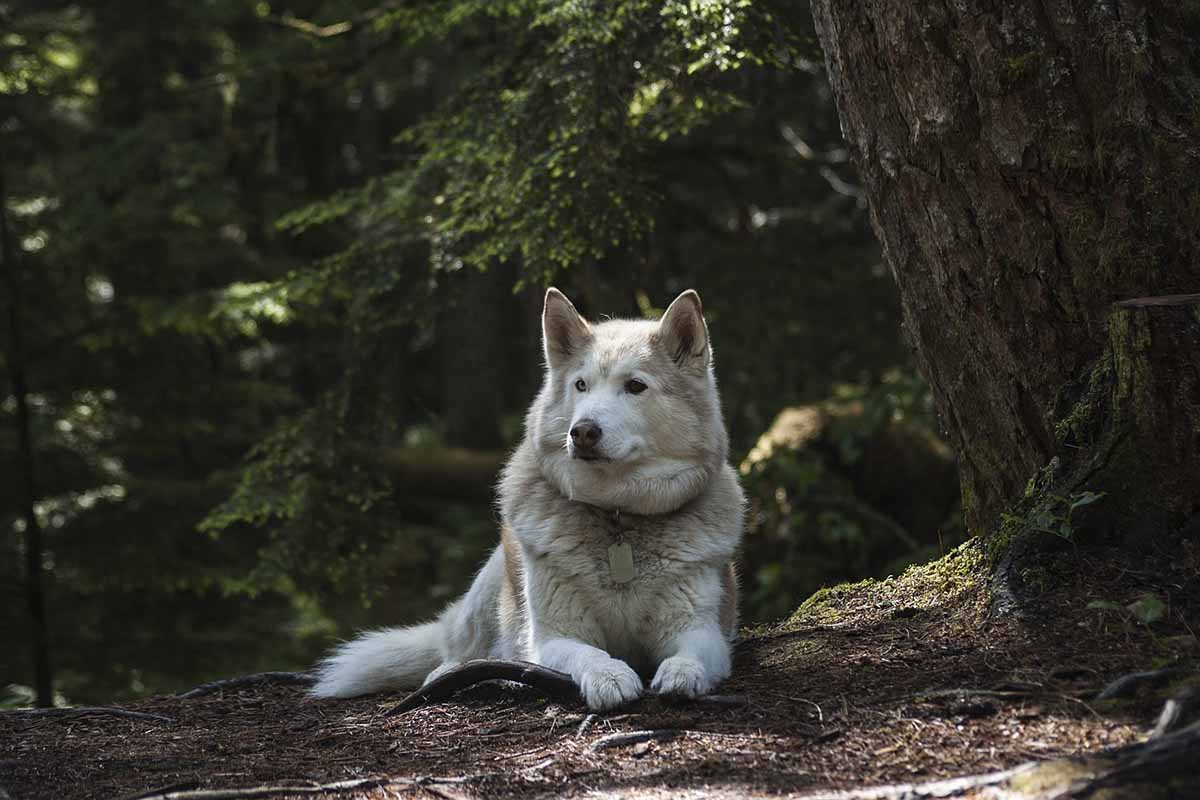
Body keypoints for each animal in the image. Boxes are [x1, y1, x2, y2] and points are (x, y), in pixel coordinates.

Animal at [309, 286, 739, 705]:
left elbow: (691, 654)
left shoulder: (703, 631)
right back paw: (459, 673)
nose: (582, 432)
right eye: (581, 385)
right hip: (491, 585)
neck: (617, 516)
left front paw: (682, 674)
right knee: (461, 652)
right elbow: (589, 654)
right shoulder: (553, 638)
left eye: (635, 386)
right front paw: (610, 677)